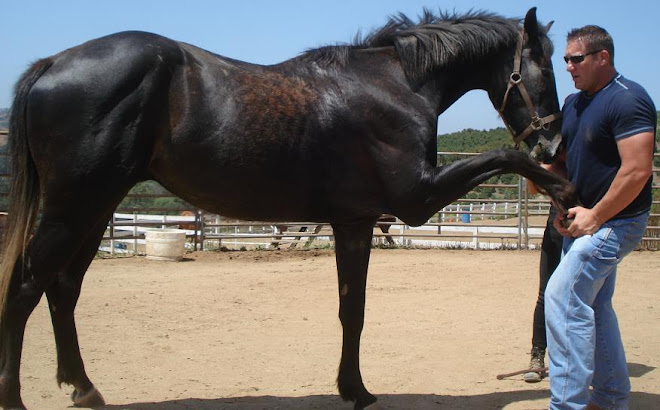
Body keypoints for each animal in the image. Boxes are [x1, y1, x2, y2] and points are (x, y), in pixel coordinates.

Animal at [0, 7, 576, 410]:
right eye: (544, 68)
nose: (554, 144)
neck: (393, 85)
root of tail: (52, 64)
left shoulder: (354, 221)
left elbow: (351, 308)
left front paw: (353, 388)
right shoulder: (416, 199)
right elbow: (501, 155)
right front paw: (564, 189)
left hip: (94, 208)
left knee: (62, 289)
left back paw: (83, 388)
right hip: (75, 207)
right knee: (26, 287)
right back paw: (17, 396)